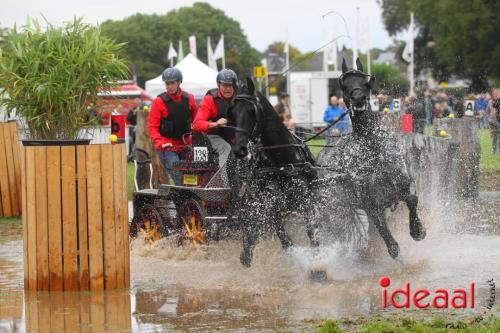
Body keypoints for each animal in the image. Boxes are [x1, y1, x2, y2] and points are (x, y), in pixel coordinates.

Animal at [229, 76, 318, 266]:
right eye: (232, 112)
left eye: (251, 111)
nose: (240, 149)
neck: (282, 163)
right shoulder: (271, 209)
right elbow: (285, 240)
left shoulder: (306, 202)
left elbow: (312, 232)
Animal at [316, 58, 426, 258]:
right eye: (344, 85)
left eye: (366, 82)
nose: (359, 99)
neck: (374, 154)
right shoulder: (372, 206)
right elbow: (391, 244)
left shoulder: (403, 186)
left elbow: (412, 200)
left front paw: (418, 230)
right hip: (340, 205)